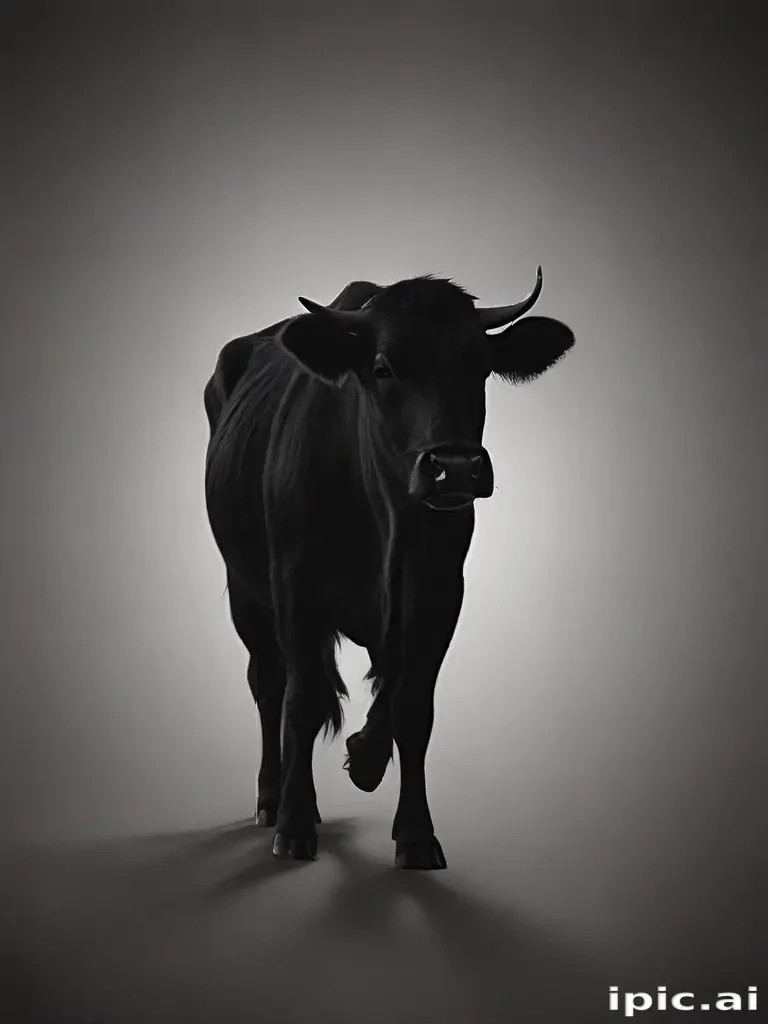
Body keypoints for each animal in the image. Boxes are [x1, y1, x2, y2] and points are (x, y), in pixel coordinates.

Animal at [204, 268, 574, 869]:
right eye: (382, 368)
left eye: (481, 367)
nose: (455, 468)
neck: (384, 520)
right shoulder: (295, 590)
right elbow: (302, 701)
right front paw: (295, 825)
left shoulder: (438, 594)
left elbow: (411, 706)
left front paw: (411, 825)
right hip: (246, 591)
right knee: (269, 683)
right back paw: (271, 799)